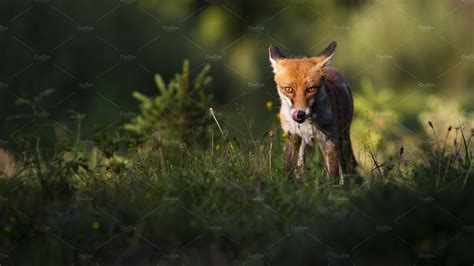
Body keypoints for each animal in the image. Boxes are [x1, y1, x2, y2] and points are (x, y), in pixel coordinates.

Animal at [268, 41, 358, 183]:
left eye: (310, 89)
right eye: (288, 89)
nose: (300, 113)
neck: (307, 124)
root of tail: (332, 69)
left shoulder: (329, 139)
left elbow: (333, 174)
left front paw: (333, 188)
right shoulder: (292, 136)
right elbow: (288, 166)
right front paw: (288, 184)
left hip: (342, 137)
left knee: (347, 166)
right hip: (304, 144)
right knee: (301, 165)